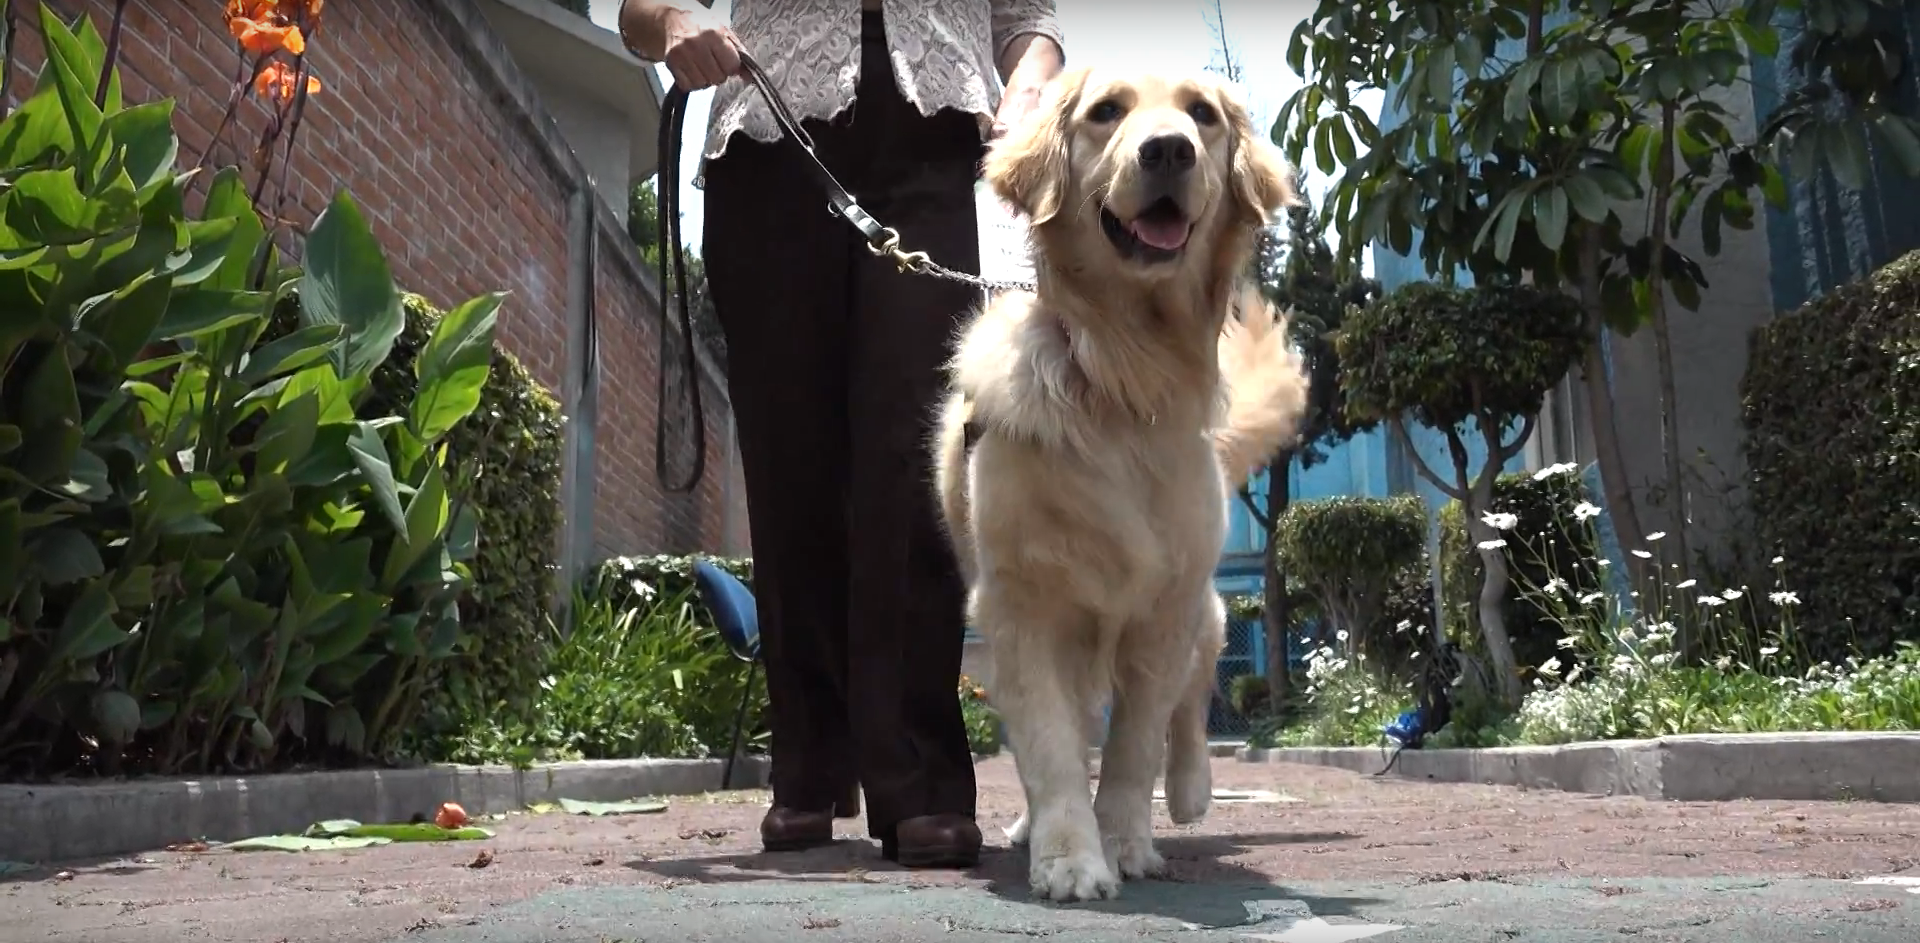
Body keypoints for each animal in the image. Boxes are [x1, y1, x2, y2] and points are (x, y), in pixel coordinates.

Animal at [933, 68, 1313, 906]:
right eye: (1106, 112)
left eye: (1203, 115)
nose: (1168, 148)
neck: (1123, 373)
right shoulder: (1022, 609)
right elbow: (1050, 746)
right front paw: (1070, 855)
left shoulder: (1164, 608)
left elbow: (1137, 745)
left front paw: (1124, 841)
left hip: (1205, 609)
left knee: (1193, 703)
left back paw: (1193, 789)